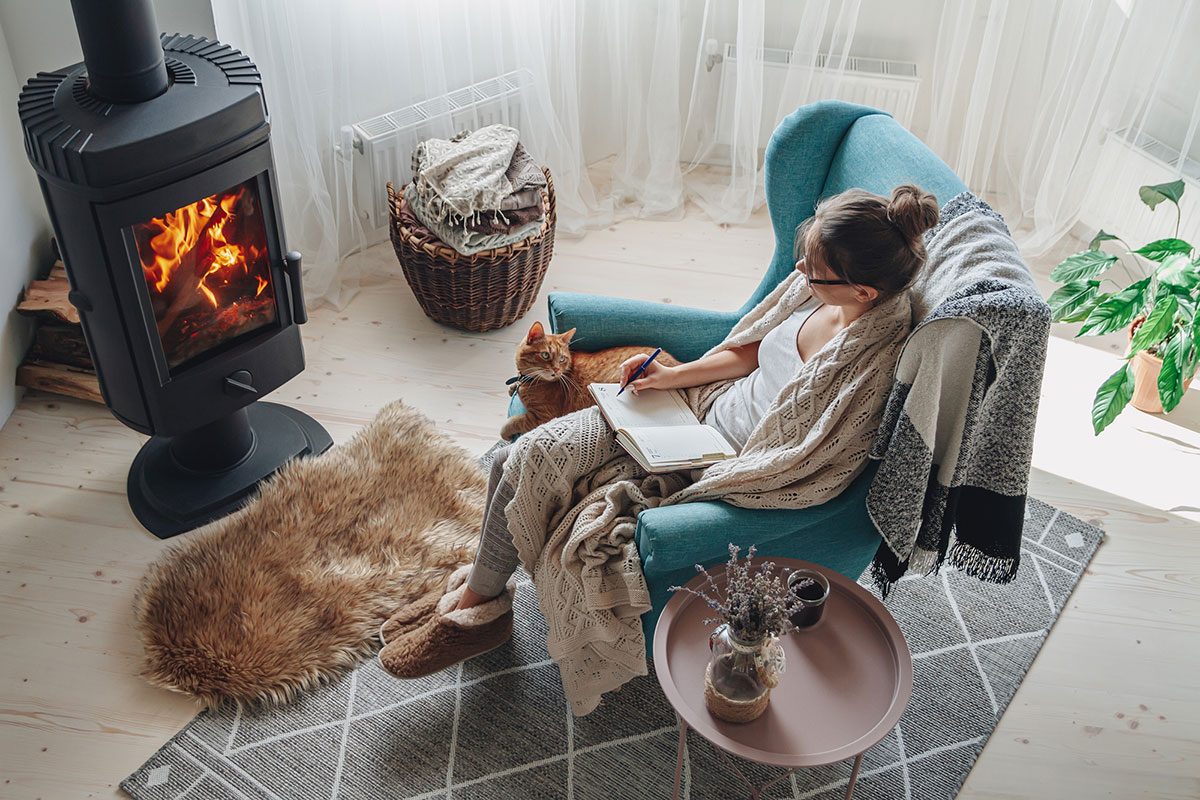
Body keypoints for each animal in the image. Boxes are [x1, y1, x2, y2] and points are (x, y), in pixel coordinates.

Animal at [501, 321, 681, 441]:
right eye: (545, 355)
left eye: (562, 359)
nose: (556, 370)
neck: (528, 380)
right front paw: (511, 388)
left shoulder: (543, 417)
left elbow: (514, 421)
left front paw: (506, 433)